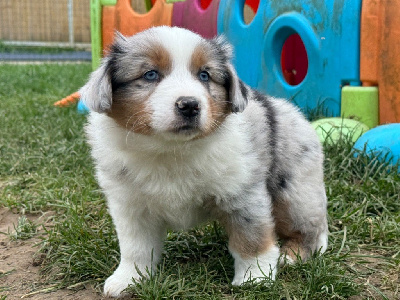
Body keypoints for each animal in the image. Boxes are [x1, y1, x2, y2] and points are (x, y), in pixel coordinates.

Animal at [80, 26, 328, 298]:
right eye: (150, 74)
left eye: (204, 75)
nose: (189, 105)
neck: (171, 149)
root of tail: (296, 114)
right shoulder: (130, 205)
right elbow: (136, 246)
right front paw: (129, 278)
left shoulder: (243, 195)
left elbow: (251, 239)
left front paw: (255, 279)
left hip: (294, 192)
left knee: (313, 229)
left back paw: (293, 255)